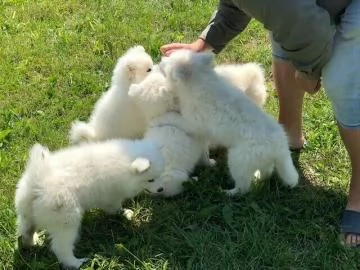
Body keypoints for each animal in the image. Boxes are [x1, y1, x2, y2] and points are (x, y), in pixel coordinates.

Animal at [14, 138, 165, 268]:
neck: (124, 163)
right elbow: (114, 206)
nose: (161, 189)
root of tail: (38, 182)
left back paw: (31, 242)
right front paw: (125, 213)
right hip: (66, 220)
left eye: (160, 175)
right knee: (61, 247)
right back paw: (75, 262)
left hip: (27, 213)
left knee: (26, 231)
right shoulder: (111, 194)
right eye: (150, 180)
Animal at [128, 68, 212, 196]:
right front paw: (212, 163)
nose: (155, 66)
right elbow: (205, 156)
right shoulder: (201, 139)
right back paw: (194, 180)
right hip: (175, 176)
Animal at [160, 49, 298, 195]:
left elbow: (175, 118)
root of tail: (281, 147)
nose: (160, 59)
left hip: (238, 161)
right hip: (259, 160)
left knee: (243, 187)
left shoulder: (193, 123)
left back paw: (227, 192)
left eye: (167, 62)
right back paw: (257, 178)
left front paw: (162, 118)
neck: (199, 80)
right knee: (266, 172)